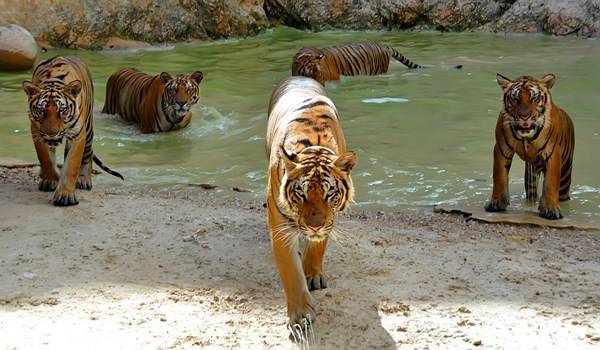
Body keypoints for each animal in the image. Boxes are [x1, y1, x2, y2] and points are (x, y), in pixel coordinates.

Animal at [22, 56, 123, 206]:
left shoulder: (77, 135)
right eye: (41, 111)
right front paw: (51, 180)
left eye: (62, 110)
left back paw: (84, 180)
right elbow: (46, 159)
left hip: (88, 129)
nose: (52, 134)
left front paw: (65, 196)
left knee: (88, 154)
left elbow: (71, 165)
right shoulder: (37, 132)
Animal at [266, 76, 356, 334]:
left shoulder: (329, 219)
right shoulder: (279, 224)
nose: (315, 226)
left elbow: (318, 245)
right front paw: (299, 316)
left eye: (329, 194)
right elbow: (290, 271)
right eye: (301, 194)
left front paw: (313, 274)